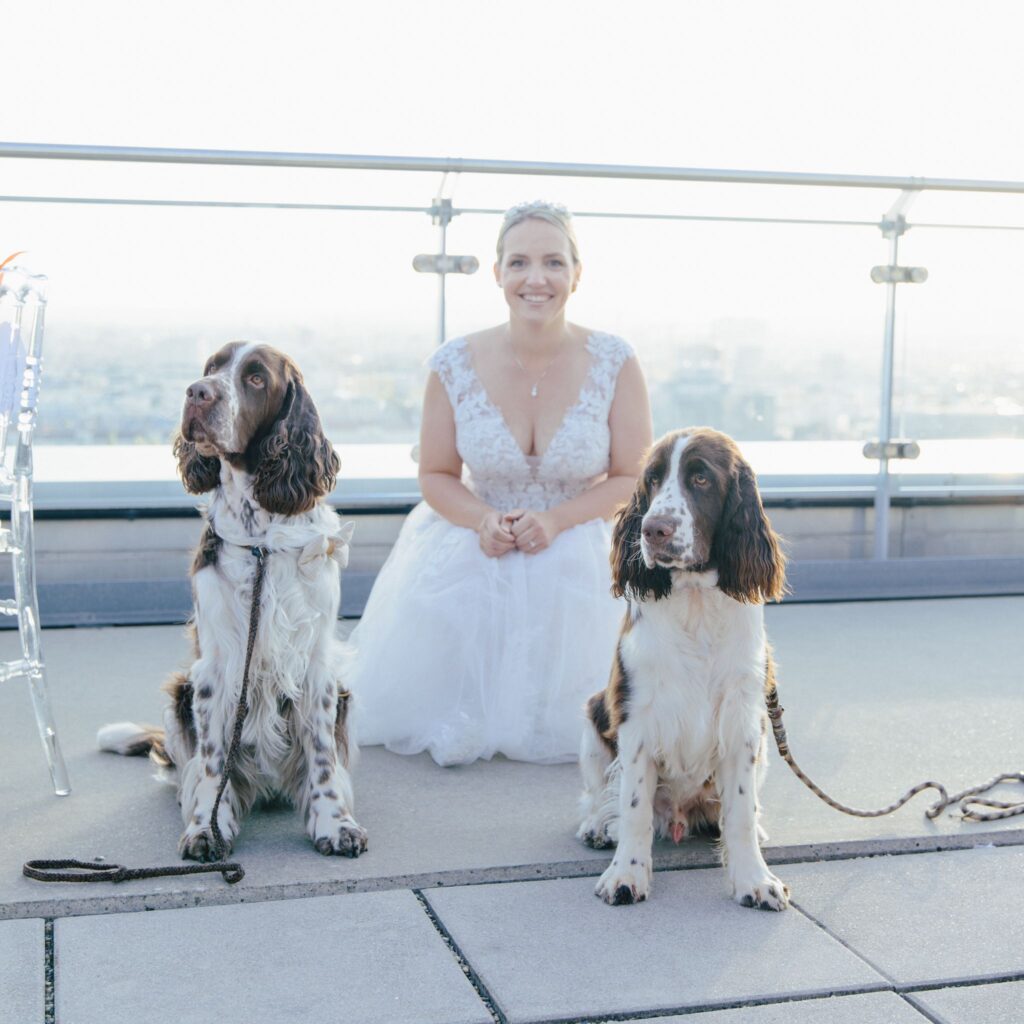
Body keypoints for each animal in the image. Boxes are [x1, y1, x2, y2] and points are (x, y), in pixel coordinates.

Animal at [96, 346, 368, 864]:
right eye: (210, 368)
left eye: (256, 378)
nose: (197, 393)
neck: (261, 538)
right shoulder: (215, 669)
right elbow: (211, 763)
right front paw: (208, 827)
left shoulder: (317, 666)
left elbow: (323, 756)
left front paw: (335, 823)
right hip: (179, 693)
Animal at [581, 428, 786, 909]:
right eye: (652, 480)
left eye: (701, 478)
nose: (652, 529)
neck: (695, 603)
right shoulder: (635, 718)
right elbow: (633, 807)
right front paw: (626, 876)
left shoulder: (743, 721)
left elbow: (741, 811)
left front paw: (754, 880)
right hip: (595, 716)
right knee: (600, 792)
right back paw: (598, 825)